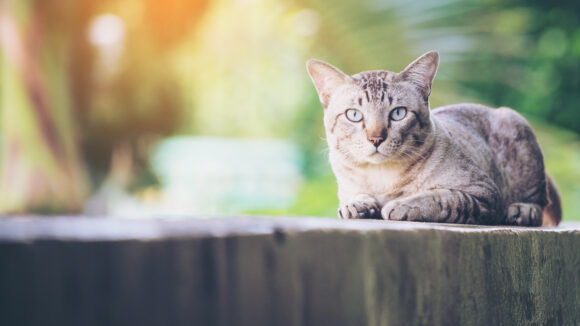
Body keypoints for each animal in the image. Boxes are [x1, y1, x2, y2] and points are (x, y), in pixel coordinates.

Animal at [306, 51, 560, 225]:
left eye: (398, 113)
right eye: (354, 115)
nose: (376, 138)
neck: (382, 179)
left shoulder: (484, 193)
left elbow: (443, 198)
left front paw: (402, 205)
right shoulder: (349, 187)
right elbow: (353, 199)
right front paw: (358, 205)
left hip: (516, 127)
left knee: (538, 203)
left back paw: (521, 211)